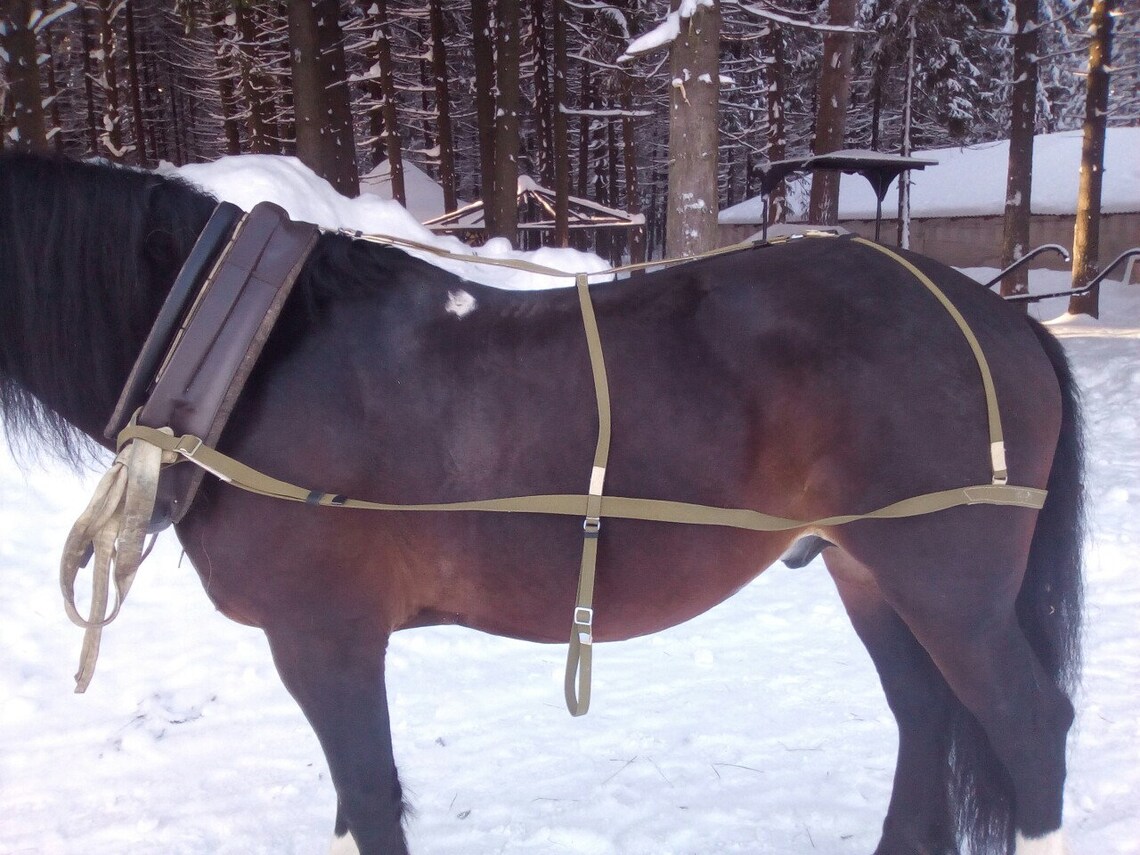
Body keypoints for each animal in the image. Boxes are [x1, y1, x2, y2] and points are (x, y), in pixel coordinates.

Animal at [0, 152, 1083, 855]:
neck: (254, 346)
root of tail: (998, 316)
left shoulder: (323, 637)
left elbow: (372, 797)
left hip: (951, 592)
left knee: (1031, 727)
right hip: (869, 571)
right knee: (927, 720)